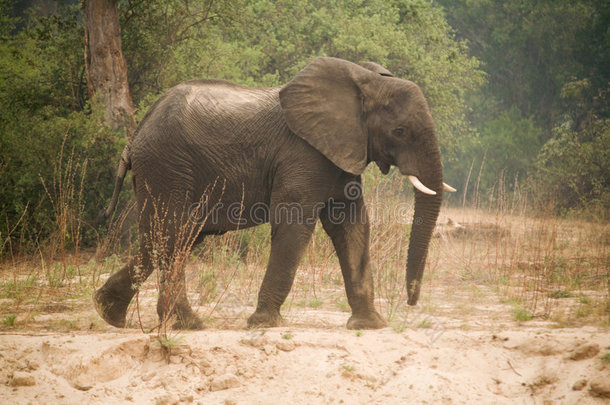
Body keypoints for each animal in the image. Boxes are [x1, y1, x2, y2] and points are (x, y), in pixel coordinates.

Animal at [94, 56, 452, 328]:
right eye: (400, 131)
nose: (412, 301)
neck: (364, 81)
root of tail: (136, 135)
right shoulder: (303, 154)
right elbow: (295, 224)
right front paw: (264, 324)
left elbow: (351, 226)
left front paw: (371, 325)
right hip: (167, 166)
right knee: (173, 234)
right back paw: (187, 324)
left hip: (164, 171)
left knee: (167, 238)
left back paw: (109, 313)